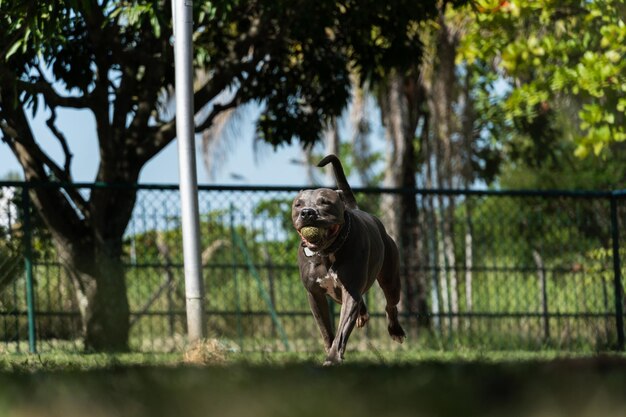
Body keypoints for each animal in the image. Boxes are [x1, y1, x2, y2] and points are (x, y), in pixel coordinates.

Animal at [288, 154, 402, 364]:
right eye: (298, 204)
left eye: (325, 202)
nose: (307, 212)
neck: (327, 253)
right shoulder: (315, 294)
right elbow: (326, 329)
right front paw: (330, 351)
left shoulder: (350, 290)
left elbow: (342, 330)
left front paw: (333, 358)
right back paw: (362, 314)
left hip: (390, 279)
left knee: (391, 304)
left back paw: (395, 330)